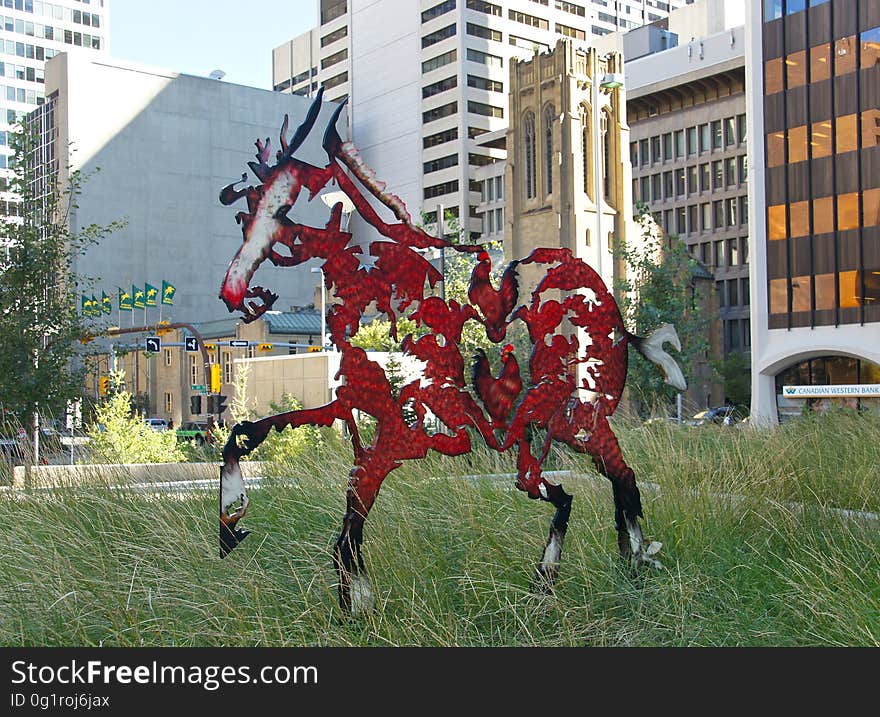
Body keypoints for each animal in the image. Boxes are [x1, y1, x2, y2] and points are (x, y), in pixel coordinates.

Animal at [217, 88, 684, 616]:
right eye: (247, 207)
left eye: (285, 206)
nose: (234, 294)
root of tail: (619, 320)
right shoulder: (347, 410)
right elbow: (246, 434)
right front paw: (231, 526)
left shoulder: (403, 438)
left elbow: (350, 526)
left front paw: (358, 603)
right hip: (562, 430)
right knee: (584, 491)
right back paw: (579, 576)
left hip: (577, 418)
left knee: (615, 483)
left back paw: (623, 568)